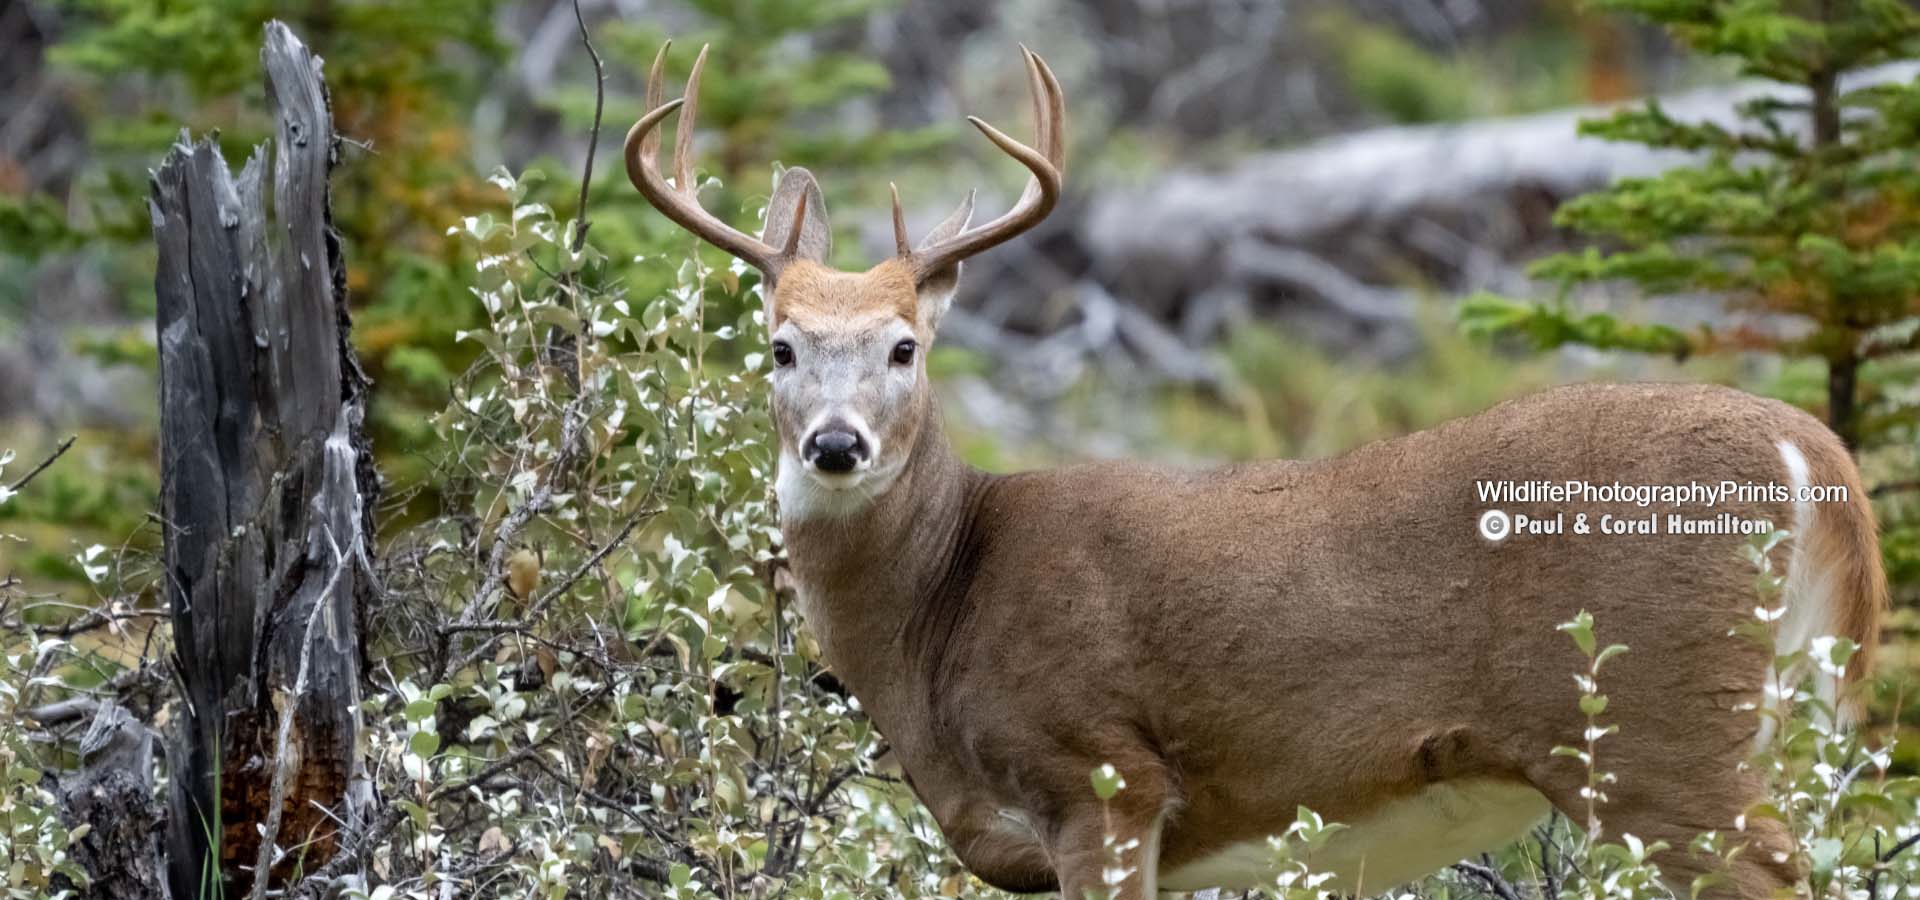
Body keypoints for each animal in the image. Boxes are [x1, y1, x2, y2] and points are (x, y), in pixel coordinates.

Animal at [622, 42, 1881, 898]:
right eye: (778, 346)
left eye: (904, 347)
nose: (837, 444)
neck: (940, 613)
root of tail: (1813, 450)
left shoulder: (1103, 775)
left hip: (1658, 727)